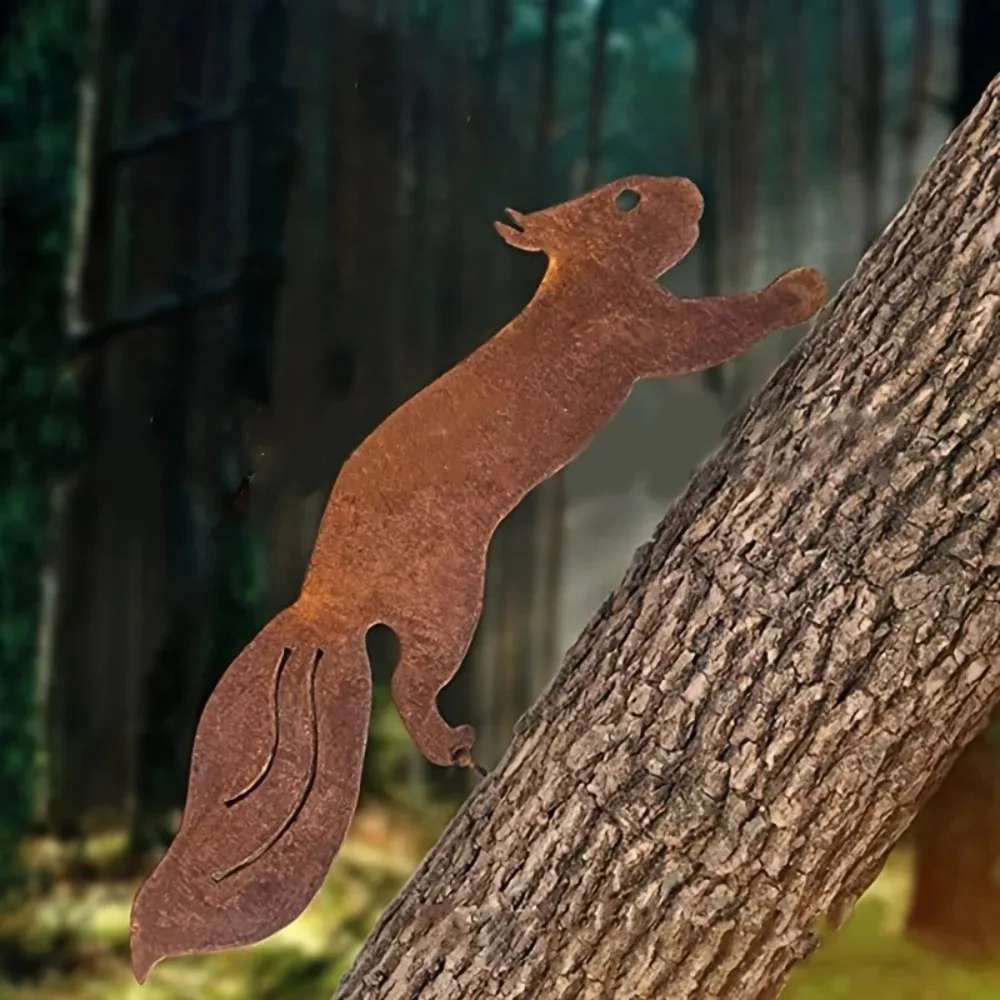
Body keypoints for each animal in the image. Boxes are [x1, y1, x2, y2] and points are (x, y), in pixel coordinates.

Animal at [129, 175, 827, 981]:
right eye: (626, 198)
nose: (690, 191)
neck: (574, 282)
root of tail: (324, 604)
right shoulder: (638, 325)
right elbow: (714, 329)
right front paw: (800, 289)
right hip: (449, 602)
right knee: (408, 684)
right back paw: (455, 744)